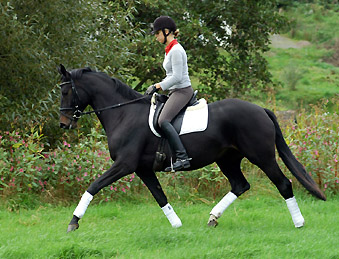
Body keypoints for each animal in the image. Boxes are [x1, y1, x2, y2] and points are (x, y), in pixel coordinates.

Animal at [58, 65, 326, 234]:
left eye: (66, 90)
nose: (63, 124)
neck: (124, 113)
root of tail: (261, 109)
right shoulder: (143, 169)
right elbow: (160, 197)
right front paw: (177, 225)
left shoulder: (124, 164)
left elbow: (93, 186)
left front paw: (73, 222)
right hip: (227, 159)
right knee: (240, 185)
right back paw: (213, 218)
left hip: (262, 157)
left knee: (283, 184)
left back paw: (299, 223)